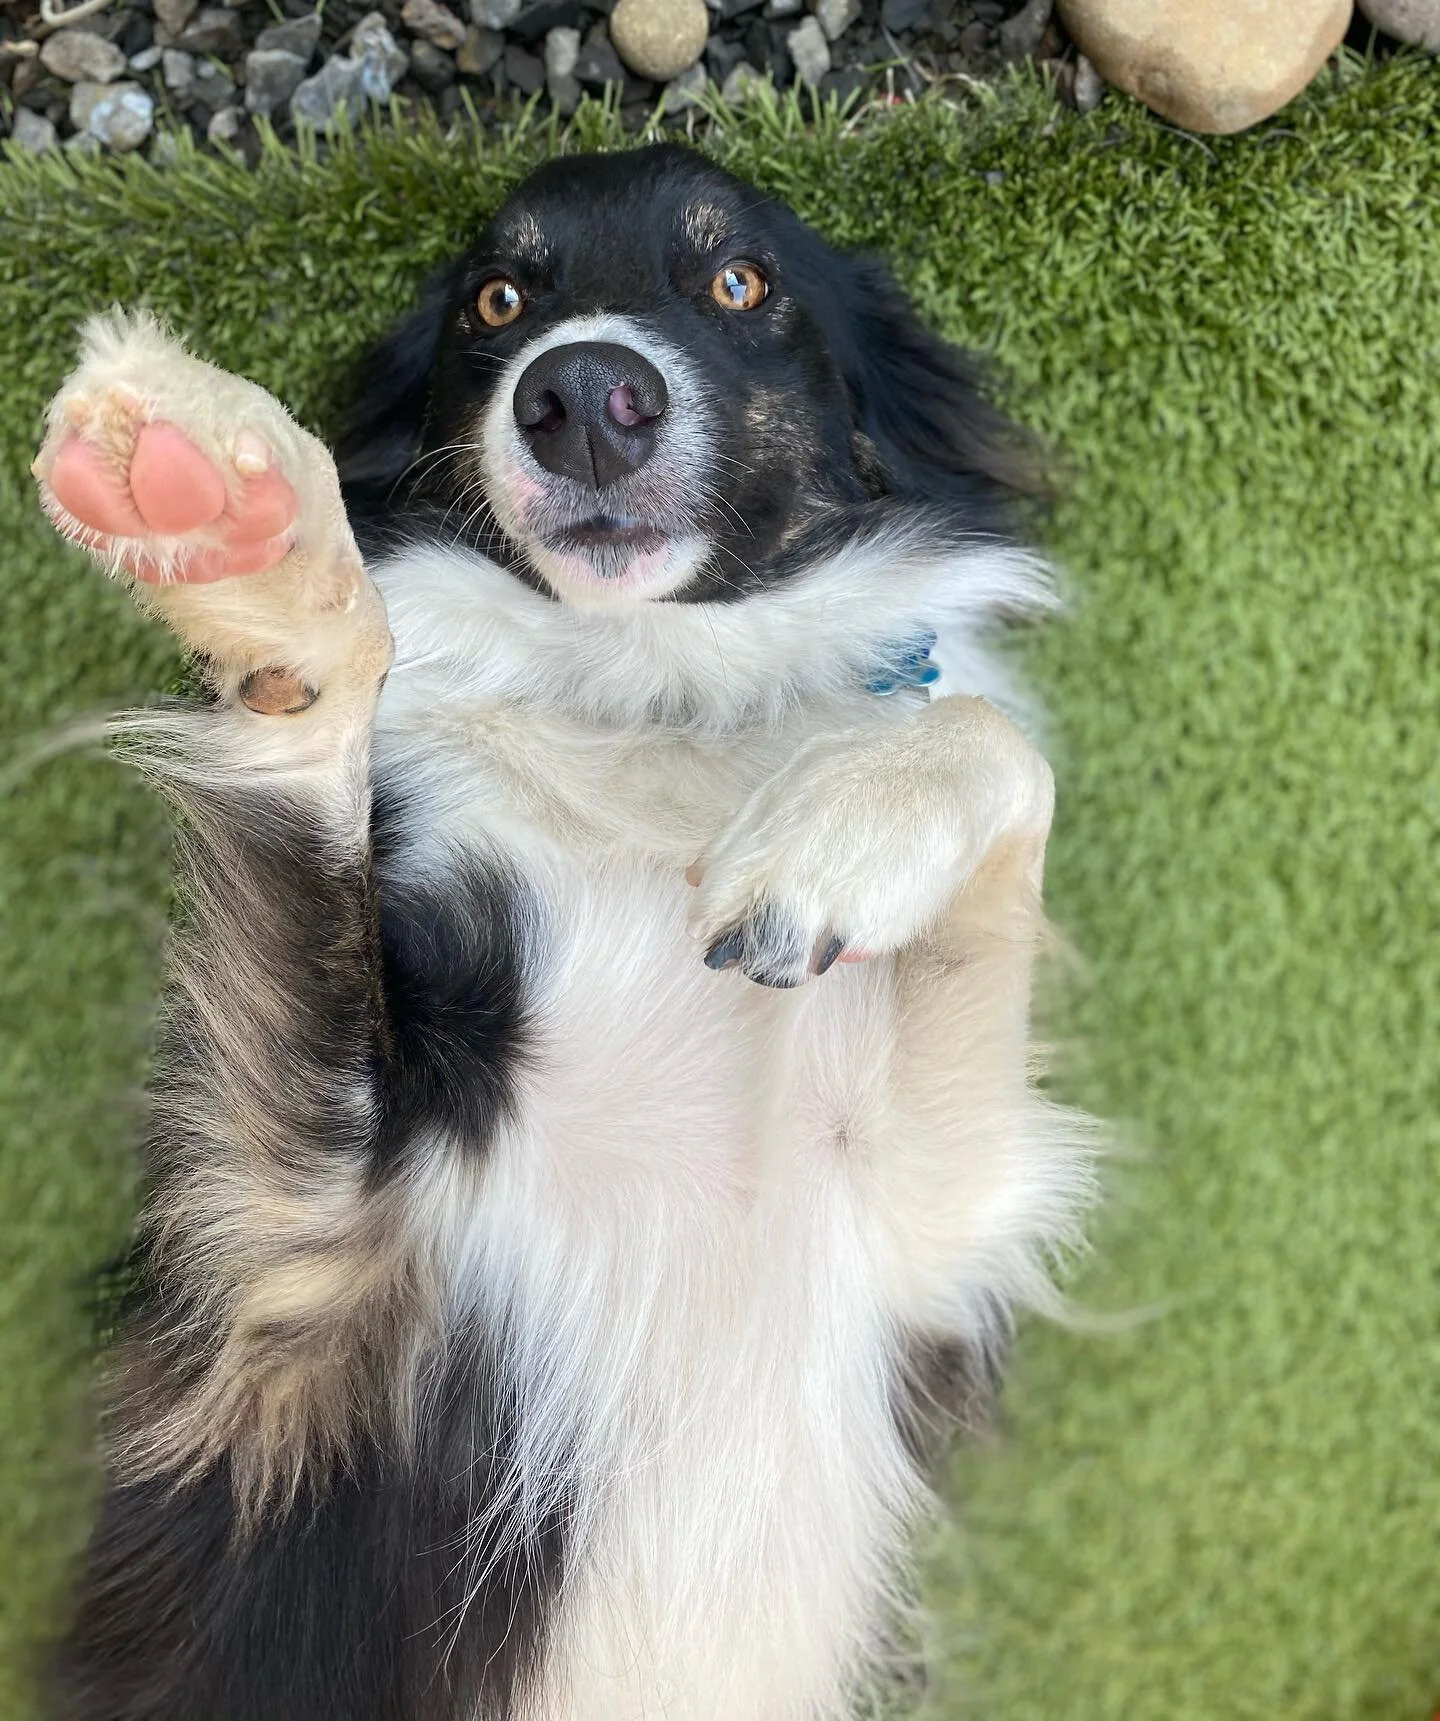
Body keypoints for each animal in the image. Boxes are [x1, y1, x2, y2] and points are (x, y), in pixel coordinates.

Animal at [32, 143, 1092, 1721]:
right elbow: (337, 702)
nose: (585, 393)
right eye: (497, 296)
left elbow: (993, 747)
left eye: (740, 281)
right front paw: (245, 528)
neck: (652, 695)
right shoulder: (293, 1262)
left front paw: (838, 827)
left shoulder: (927, 1210)